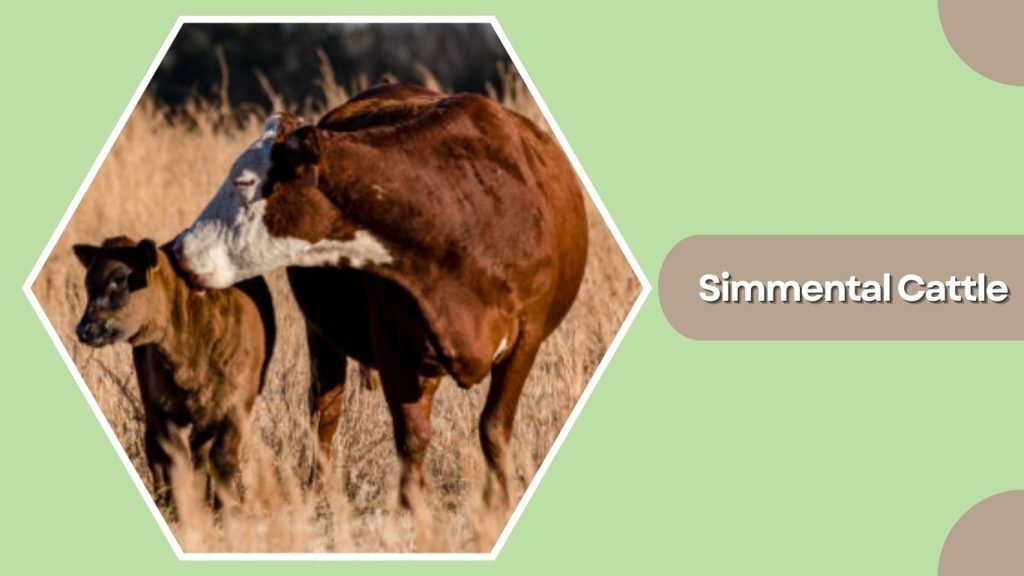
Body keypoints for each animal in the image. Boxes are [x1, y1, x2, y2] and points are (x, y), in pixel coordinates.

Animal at [74, 237, 275, 510]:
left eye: (121, 278)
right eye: (88, 283)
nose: (84, 329)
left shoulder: (237, 405)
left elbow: (223, 460)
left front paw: (227, 513)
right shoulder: (164, 406)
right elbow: (176, 462)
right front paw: (186, 513)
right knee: (156, 449)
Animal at [173, 82, 588, 509]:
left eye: (243, 182)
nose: (177, 248)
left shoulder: (527, 336)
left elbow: (494, 427)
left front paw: (497, 501)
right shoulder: (393, 341)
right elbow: (412, 435)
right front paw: (412, 509)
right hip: (323, 335)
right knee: (325, 410)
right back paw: (320, 486)